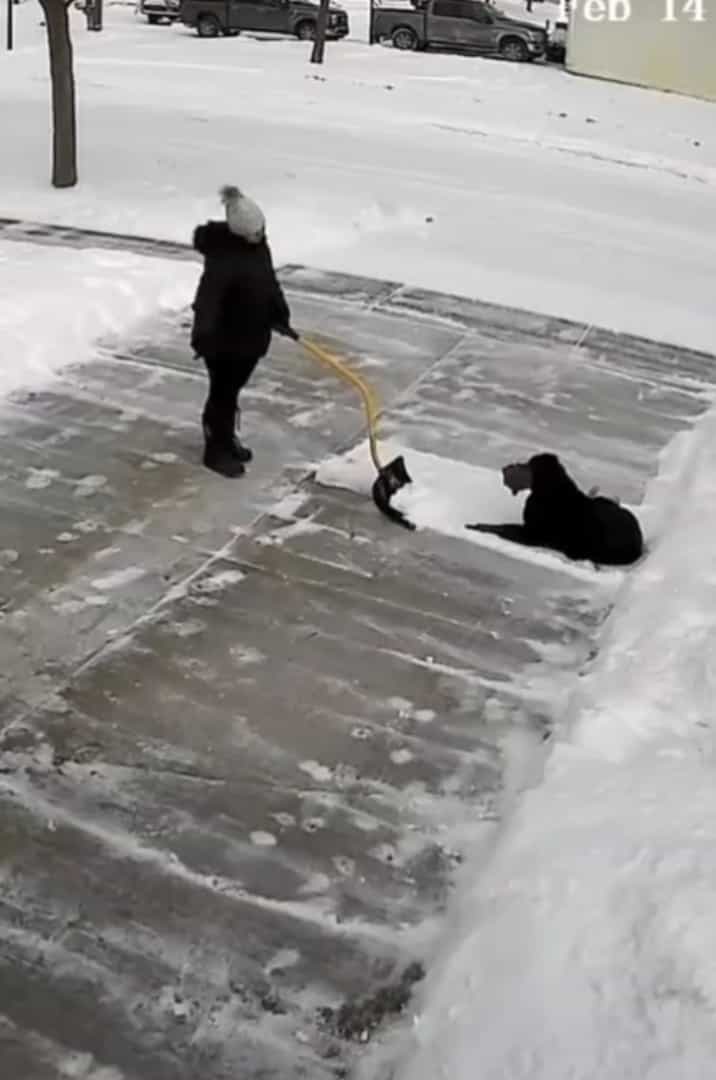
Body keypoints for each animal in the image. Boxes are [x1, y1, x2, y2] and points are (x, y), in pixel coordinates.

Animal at [468, 449, 647, 565]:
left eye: (529, 464)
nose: (506, 467)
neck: (550, 490)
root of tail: (639, 542)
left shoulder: (531, 534)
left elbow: (503, 528)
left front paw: (478, 526)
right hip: (604, 502)